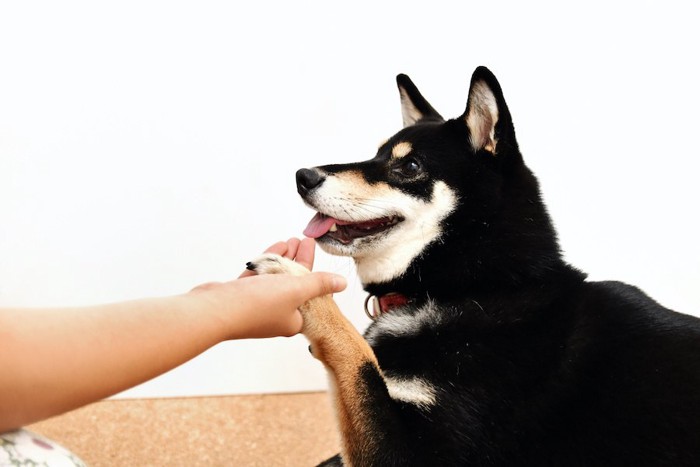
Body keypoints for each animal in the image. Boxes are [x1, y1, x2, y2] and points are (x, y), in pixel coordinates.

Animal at [246, 66, 700, 467]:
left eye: (409, 166)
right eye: (375, 154)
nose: (303, 176)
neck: (475, 286)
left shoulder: (415, 456)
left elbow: (357, 357)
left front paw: (300, 285)